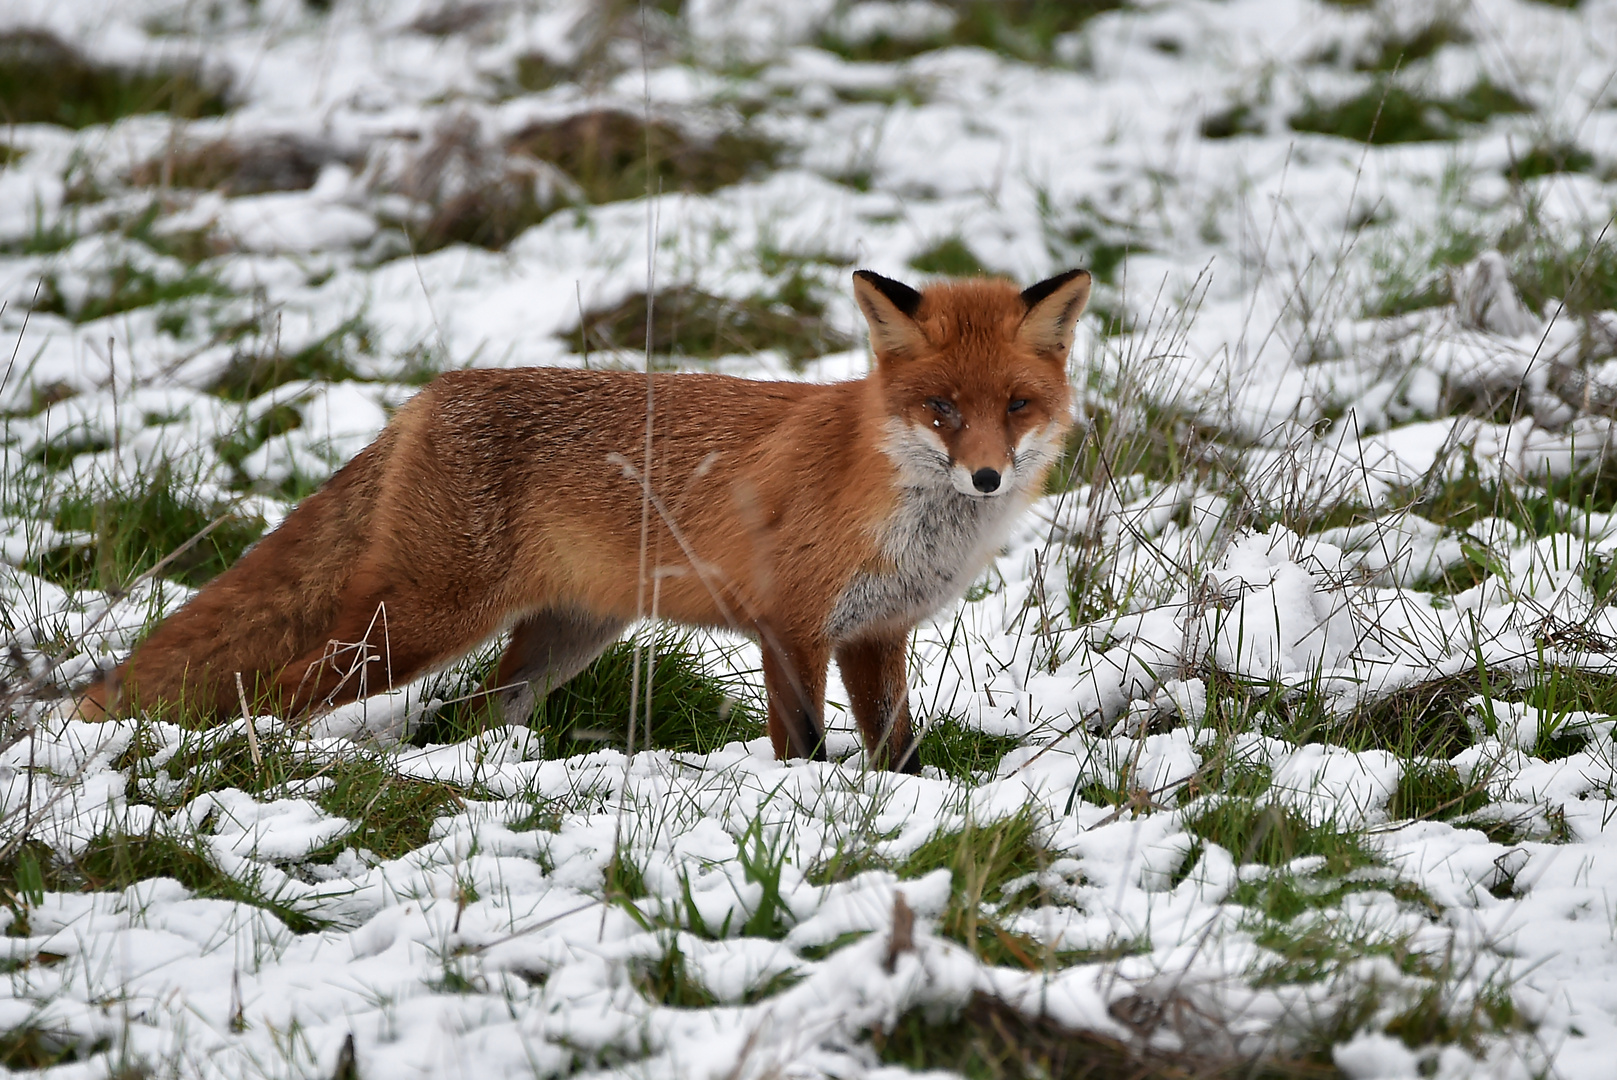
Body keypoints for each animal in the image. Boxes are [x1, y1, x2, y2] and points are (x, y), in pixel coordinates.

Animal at [75, 268, 1086, 766]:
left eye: (1017, 406)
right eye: (940, 410)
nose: (987, 477)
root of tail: (427, 397)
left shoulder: (874, 635)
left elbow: (897, 752)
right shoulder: (789, 626)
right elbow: (800, 742)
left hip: (561, 639)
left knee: (470, 714)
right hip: (422, 622)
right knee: (286, 687)